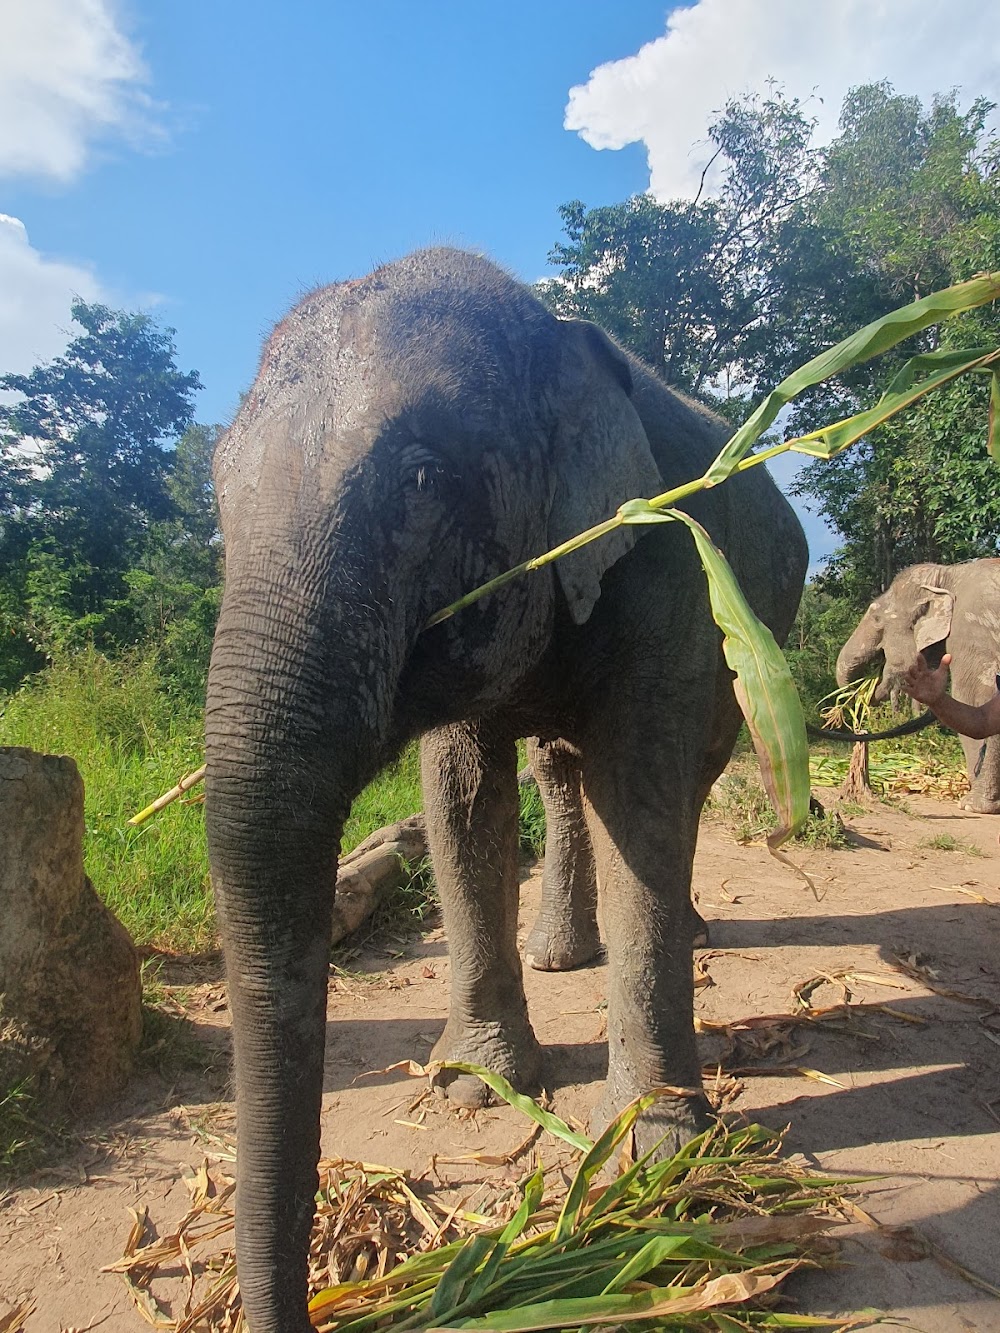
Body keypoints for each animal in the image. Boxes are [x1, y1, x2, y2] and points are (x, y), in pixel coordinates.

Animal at [208, 245, 810, 1327]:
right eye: (216, 495)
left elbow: (641, 800)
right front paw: (474, 1087)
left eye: (419, 480)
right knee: (559, 773)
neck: (549, 330)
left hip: (757, 630)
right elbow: (458, 798)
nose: (309, 1301)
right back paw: (560, 953)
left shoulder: (664, 556)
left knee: (688, 780)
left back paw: (681, 932)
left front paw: (657, 1146)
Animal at [837, 554, 1000, 810]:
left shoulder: (973, 630)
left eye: (877, 618)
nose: (867, 687)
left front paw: (972, 805)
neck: (949, 575)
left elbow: (974, 696)